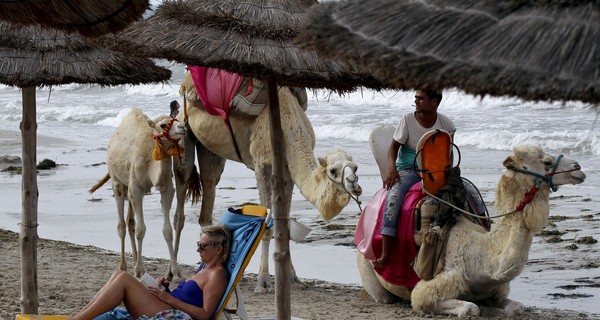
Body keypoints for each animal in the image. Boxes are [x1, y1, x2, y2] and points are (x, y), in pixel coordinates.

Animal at [89, 108, 186, 280]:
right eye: (163, 125)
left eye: (176, 119)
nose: (183, 127)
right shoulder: (136, 187)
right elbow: (141, 229)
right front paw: (139, 270)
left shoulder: (166, 188)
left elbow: (167, 230)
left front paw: (175, 271)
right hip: (116, 181)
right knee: (121, 224)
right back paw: (124, 266)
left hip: (128, 186)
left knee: (130, 222)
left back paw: (134, 259)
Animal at [173, 72, 360, 292]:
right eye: (333, 170)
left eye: (355, 168)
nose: (354, 184)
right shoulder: (261, 164)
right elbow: (267, 225)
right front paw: (263, 281)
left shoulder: (288, 173)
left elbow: (284, 225)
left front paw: (293, 278)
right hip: (182, 132)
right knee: (181, 192)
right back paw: (174, 272)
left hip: (210, 149)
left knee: (209, 187)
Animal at [358, 143, 584, 318]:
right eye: (546, 162)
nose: (578, 167)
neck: (483, 258)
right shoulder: (429, 288)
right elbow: (469, 308)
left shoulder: (496, 290)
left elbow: (516, 308)